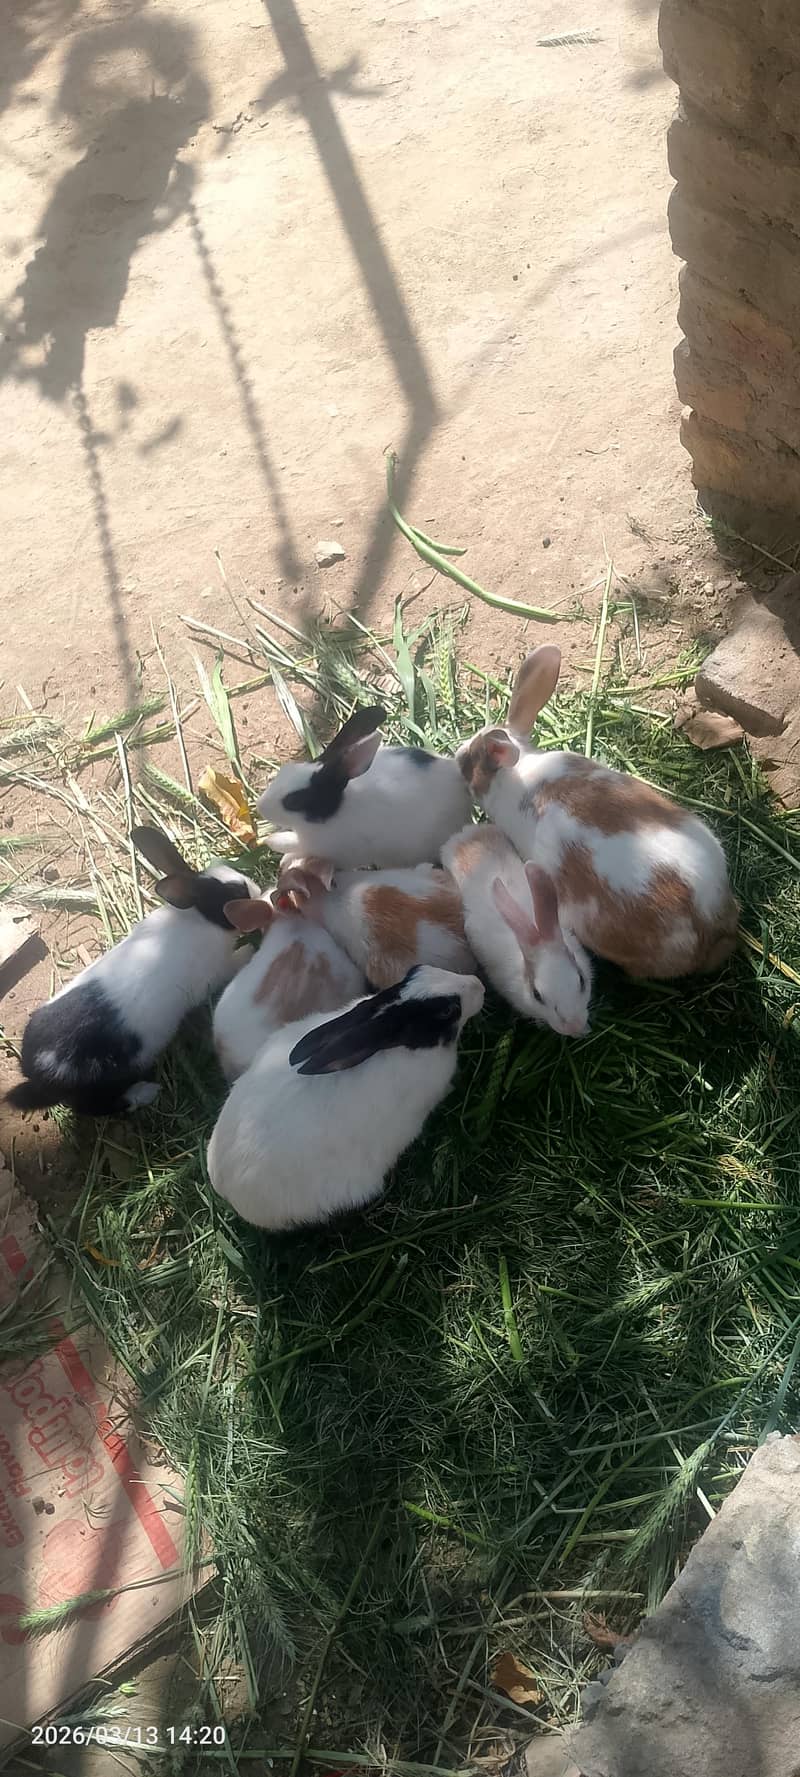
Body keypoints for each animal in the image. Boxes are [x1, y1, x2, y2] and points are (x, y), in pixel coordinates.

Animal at [5, 826, 259, 1118]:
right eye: (237, 895)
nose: (258, 889)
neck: (200, 917)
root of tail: (38, 1071)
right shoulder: (218, 970)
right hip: (100, 1085)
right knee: (97, 1107)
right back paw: (145, 1092)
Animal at [257, 703, 472, 868]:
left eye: (294, 800)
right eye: (284, 770)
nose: (260, 807)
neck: (335, 811)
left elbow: (295, 847)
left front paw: (275, 846)